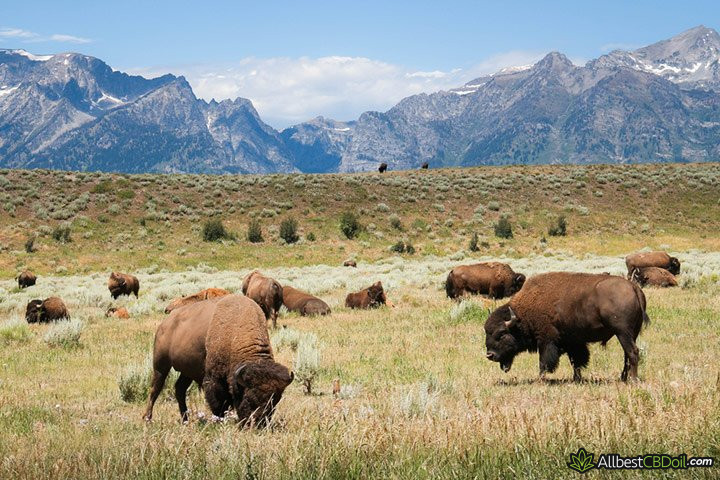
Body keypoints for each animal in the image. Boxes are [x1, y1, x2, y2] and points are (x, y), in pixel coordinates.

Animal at [484, 274, 648, 382]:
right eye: (487, 332)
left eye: (501, 334)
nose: (490, 355)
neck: (522, 314)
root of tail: (633, 287)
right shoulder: (572, 342)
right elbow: (576, 361)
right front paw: (577, 379)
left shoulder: (546, 341)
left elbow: (544, 362)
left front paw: (541, 379)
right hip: (631, 333)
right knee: (627, 354)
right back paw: (623, 377)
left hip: (622, 333)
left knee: (632, 352)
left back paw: (633, 380)